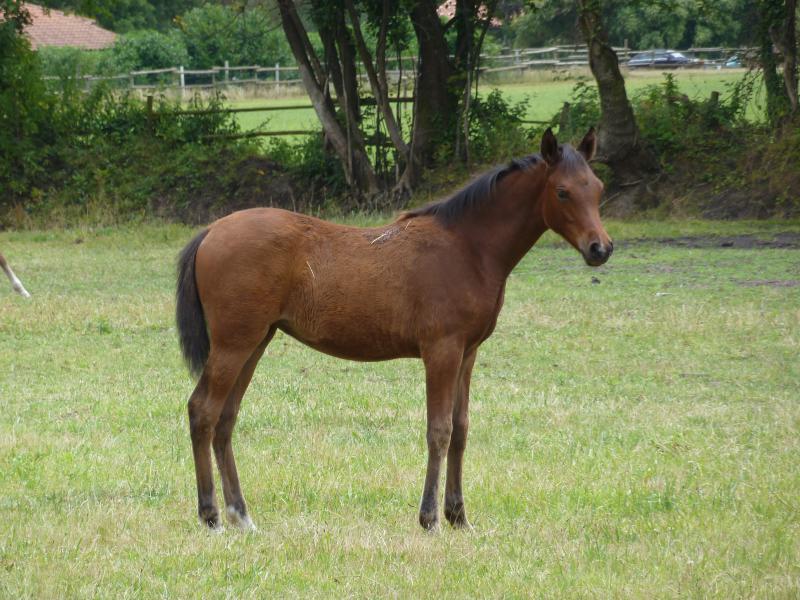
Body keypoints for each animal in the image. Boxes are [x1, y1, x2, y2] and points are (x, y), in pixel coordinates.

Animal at [175, 129, 612, 532]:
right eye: (562, 192)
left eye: (598, 188)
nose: (601, 248)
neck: (468, 248)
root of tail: (211, 231)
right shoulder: (442, 350)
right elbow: (439, 430)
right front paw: (430, 518)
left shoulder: (468, 353)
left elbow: (461, 429)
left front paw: (459, 517)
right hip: (234, 344)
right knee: (203, 411)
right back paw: (211, 516)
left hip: (255, 341)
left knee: (226, 419)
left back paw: (241, 516)